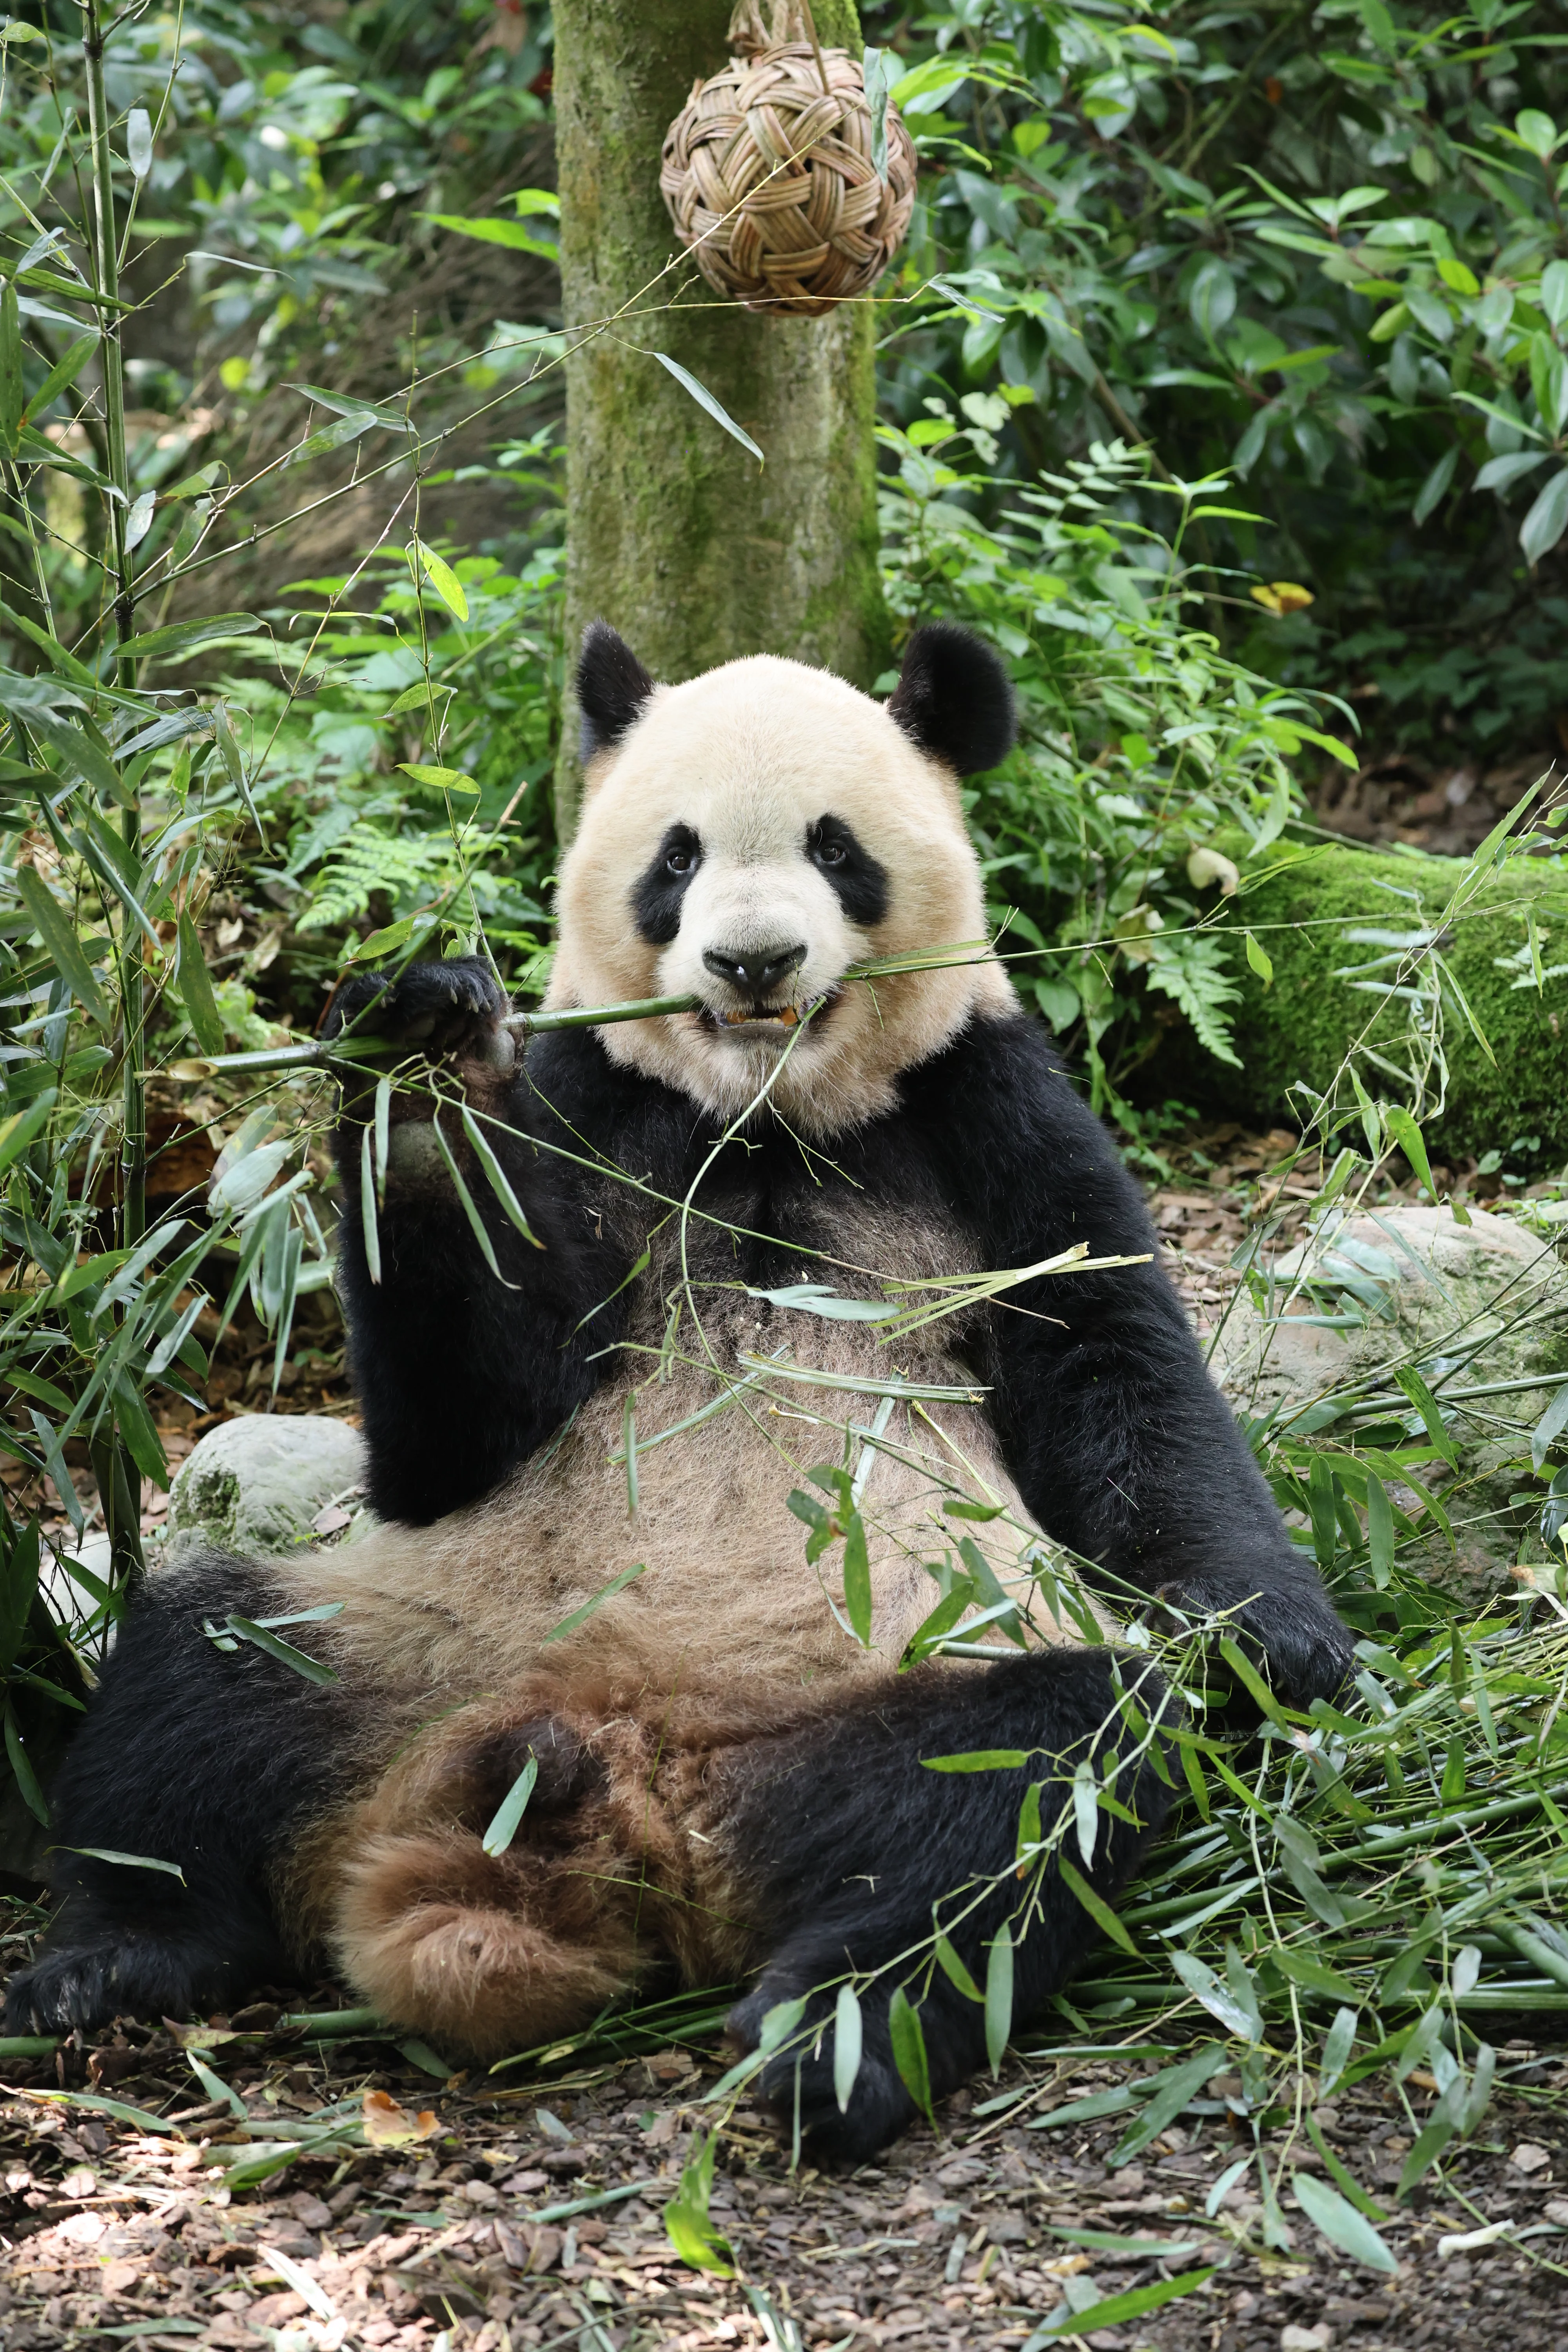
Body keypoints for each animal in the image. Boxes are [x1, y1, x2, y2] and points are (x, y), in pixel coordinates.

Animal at [5, 622, 1350, 2158]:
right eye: (676, 857)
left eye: (835, 848)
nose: (752, 958)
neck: (755, 1112)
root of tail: (620, 1773)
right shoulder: (589, 1103)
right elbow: (454, 1431)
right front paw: (418, 1070)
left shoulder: (982, 1102)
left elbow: (1113, 1358)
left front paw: (1273, 1637)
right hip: (399, 1643)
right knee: (195, 1678)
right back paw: (108, 1959)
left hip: (891, 1681)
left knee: (1034, 1783)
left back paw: (835, 2039)